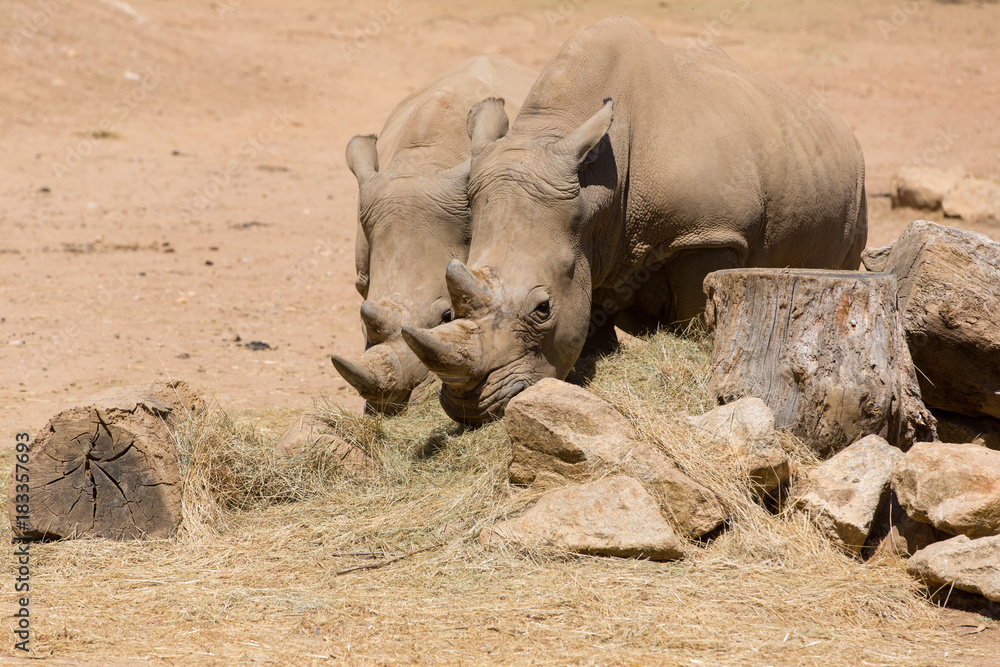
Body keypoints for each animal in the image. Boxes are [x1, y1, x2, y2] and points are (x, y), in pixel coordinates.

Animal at [401, 17, 868, 425]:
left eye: (542, 308)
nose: (470, 409)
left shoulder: (708, 233)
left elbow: (697, 312)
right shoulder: (588, 243)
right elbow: (589, 316)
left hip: (855, 179)